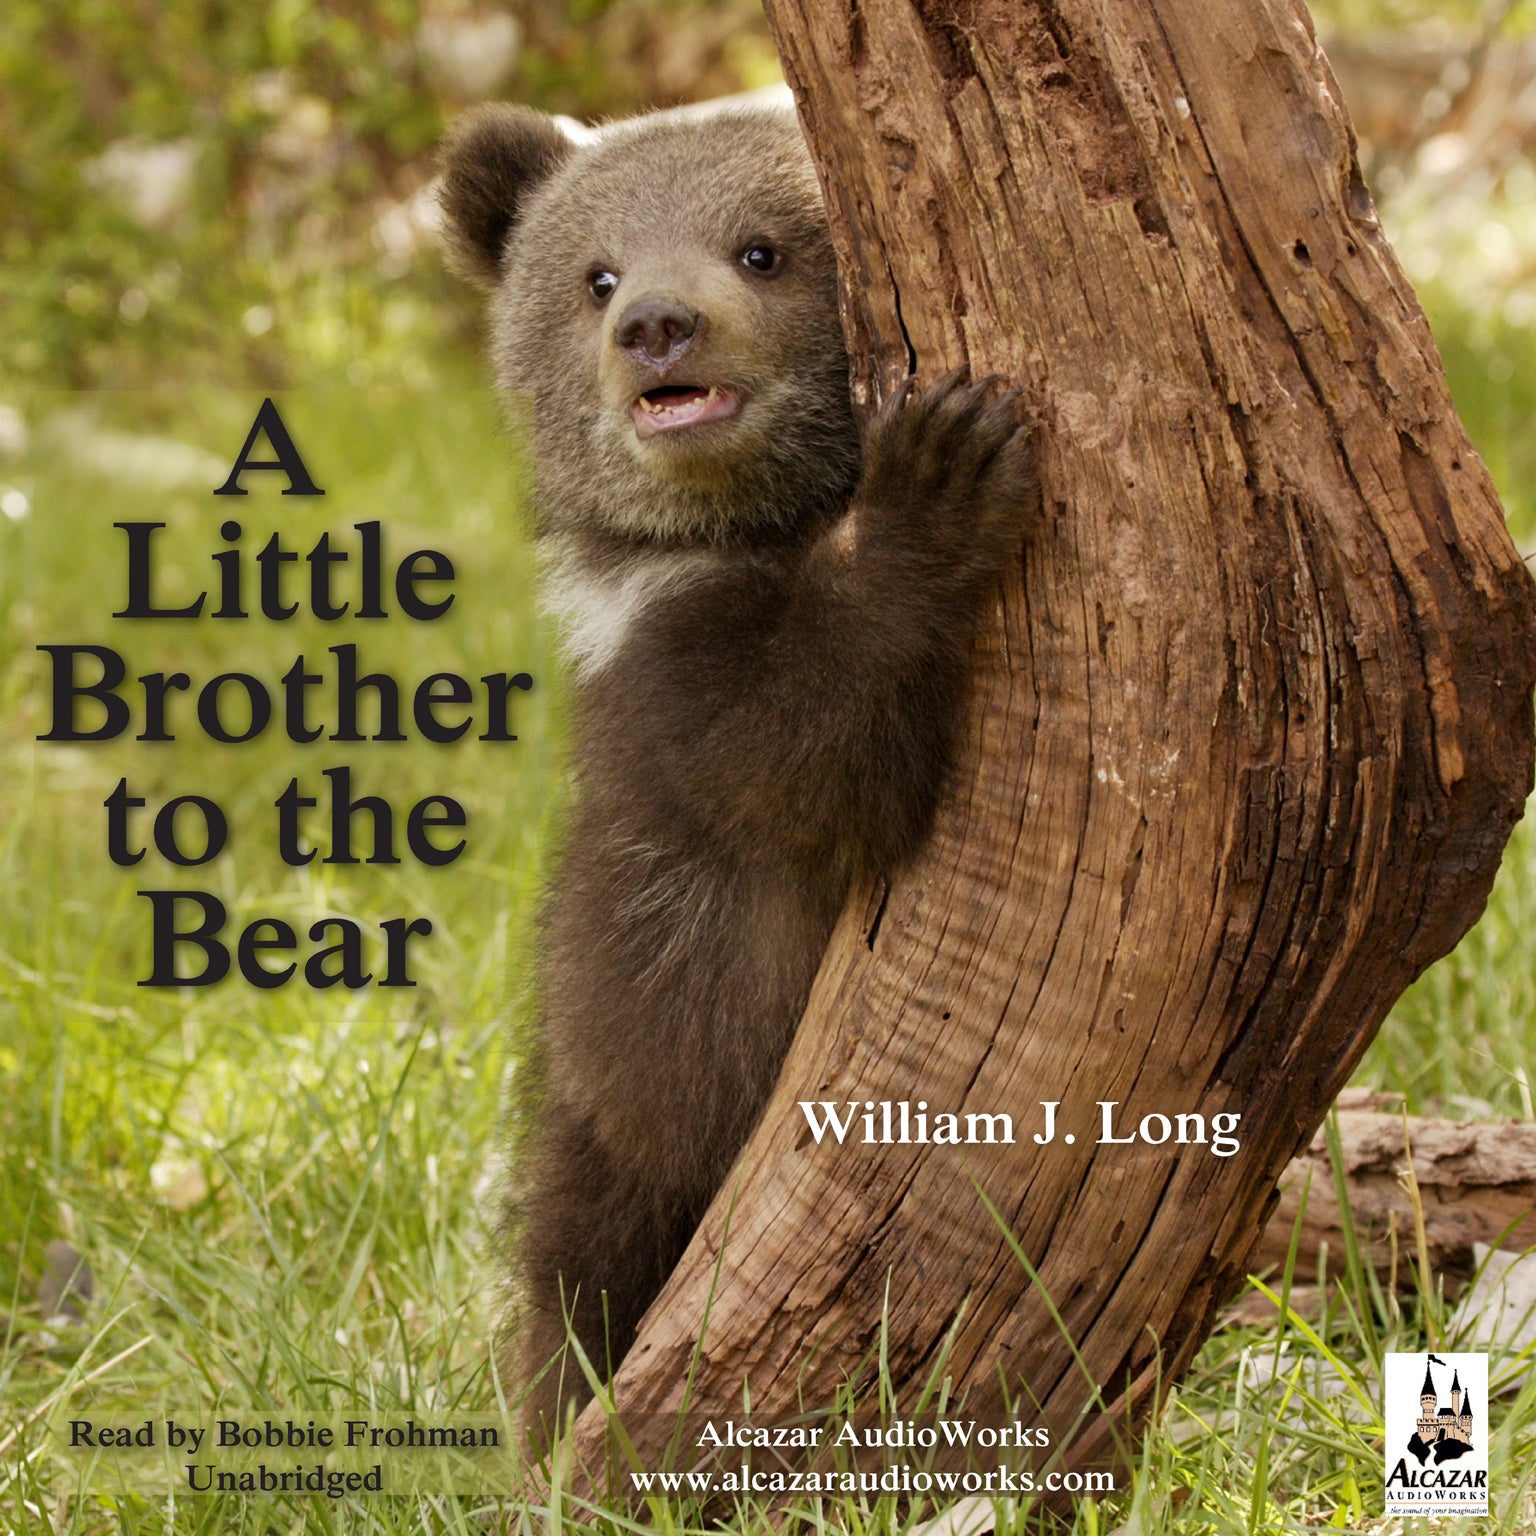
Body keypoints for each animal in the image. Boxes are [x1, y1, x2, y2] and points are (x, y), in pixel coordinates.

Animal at [438, 99, 1037, 1430]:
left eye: (761, 249)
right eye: (596, 274)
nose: (658, 326)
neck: (754, 529)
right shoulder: (667, 683)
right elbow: (806, 760)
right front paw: (939, 478)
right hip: (625, 1112)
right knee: (578, 1285)